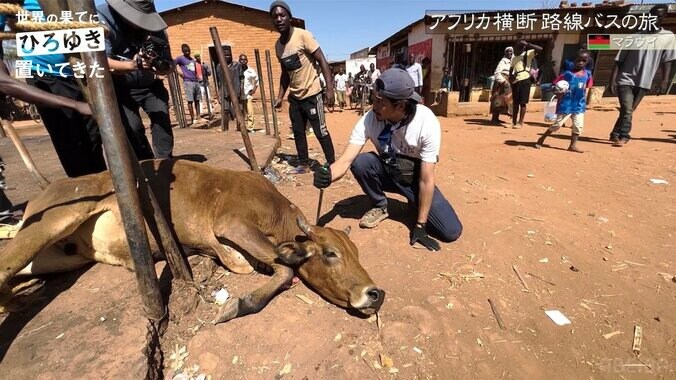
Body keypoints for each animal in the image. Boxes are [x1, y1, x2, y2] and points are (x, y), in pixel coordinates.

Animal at [0, 159, 386, 322]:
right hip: (55, 218)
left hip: (58, 255)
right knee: (5, 264)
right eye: (331, 253)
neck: (278, 213)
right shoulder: (232, 223)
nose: (376, 294)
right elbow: (285, 270)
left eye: (355, 252)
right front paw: (238, 305)